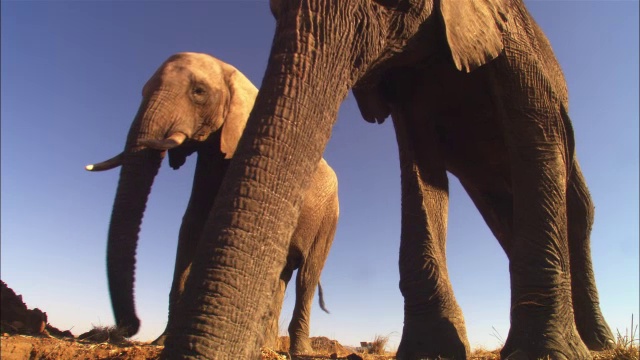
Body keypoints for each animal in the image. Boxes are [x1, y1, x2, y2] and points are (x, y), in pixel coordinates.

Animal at [87, 52, 342, 354]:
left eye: (198, 92)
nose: (129, 327)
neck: (234, 77)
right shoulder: (210, 154)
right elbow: (192, 225)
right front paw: (162, 342)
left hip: (329, 219)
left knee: (307, 276)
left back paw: (299, 351)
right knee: (283, 276)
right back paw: (266, 347)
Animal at [160, 0, 616, 360]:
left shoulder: (517, 51)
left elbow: (536, 142)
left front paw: (545, 353)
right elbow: (420, 172)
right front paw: (431, 350)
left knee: (577, 214)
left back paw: (598, 343)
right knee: (506, 222)